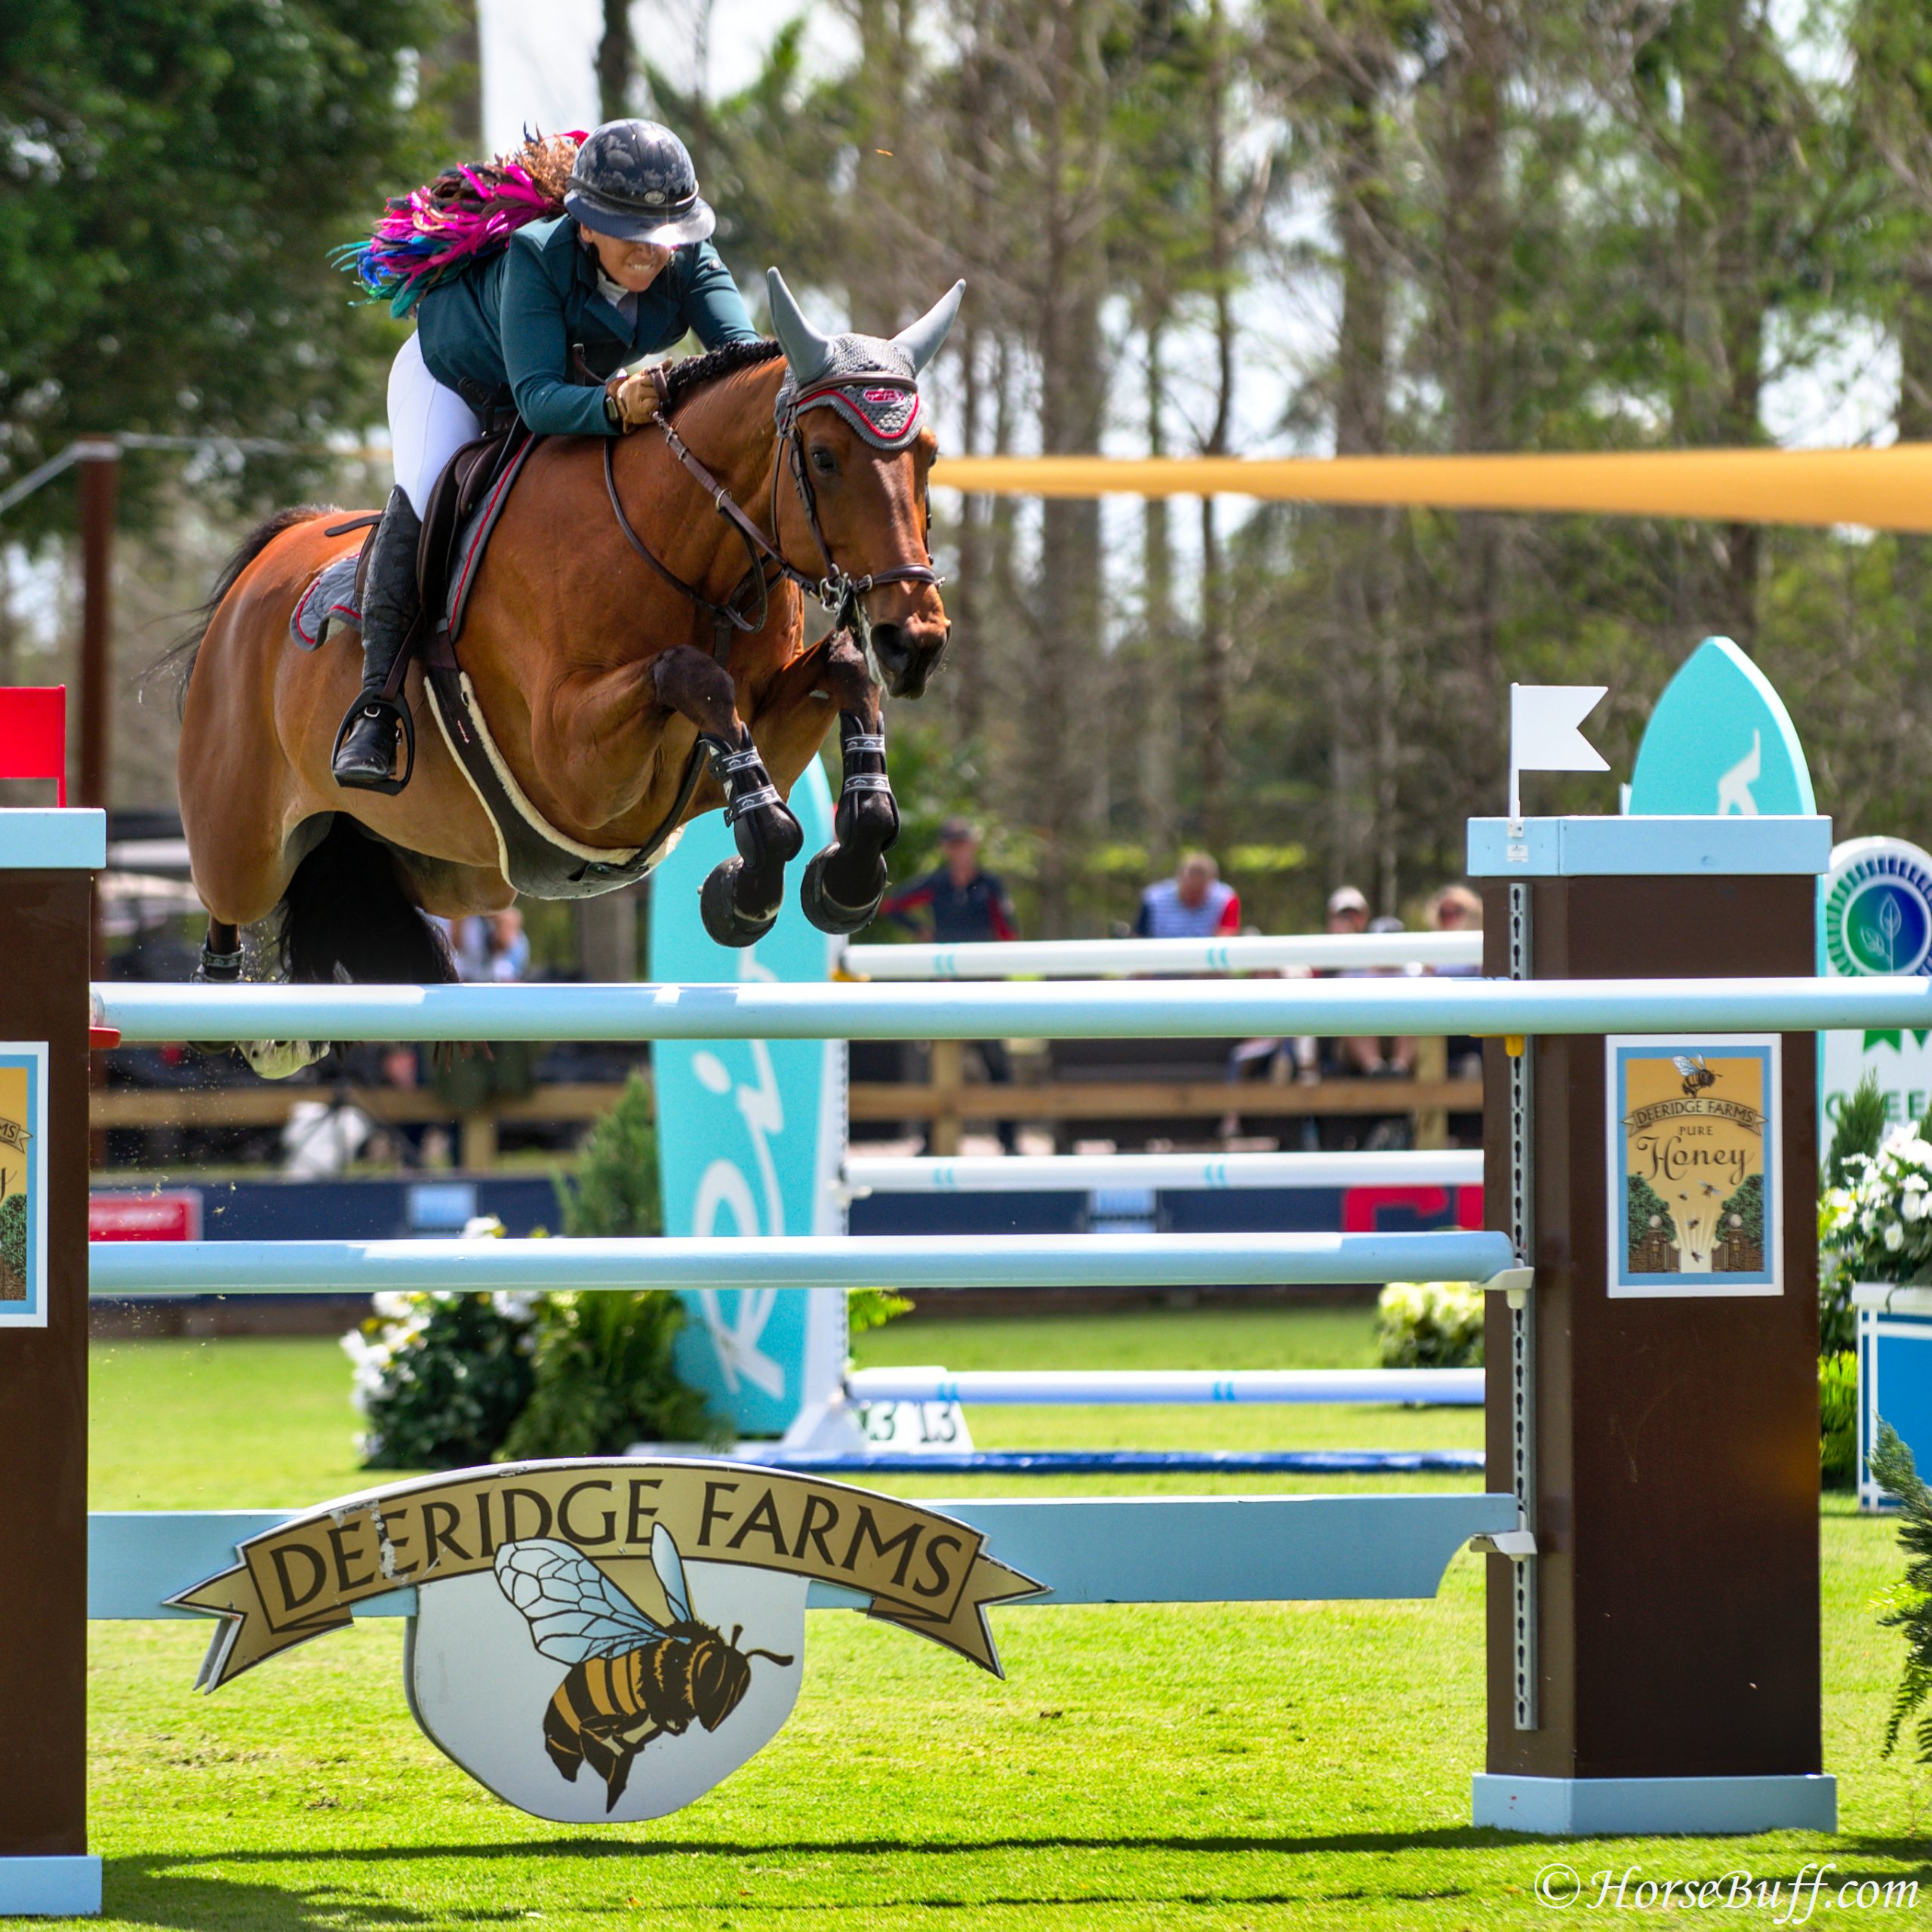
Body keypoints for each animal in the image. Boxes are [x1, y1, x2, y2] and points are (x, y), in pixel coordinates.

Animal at [166, 268, 958, 1074]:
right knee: (231, 900)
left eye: (927, 455)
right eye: (824, 458)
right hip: (242, 843)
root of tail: (266, 561)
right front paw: (748, 886)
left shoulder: (751, 735)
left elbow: (843, 672)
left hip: (460, 875)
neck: (692, 556)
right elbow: (694, 676)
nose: (914, 642)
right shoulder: (572, 767)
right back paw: (239, 1011)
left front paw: (842, 874)